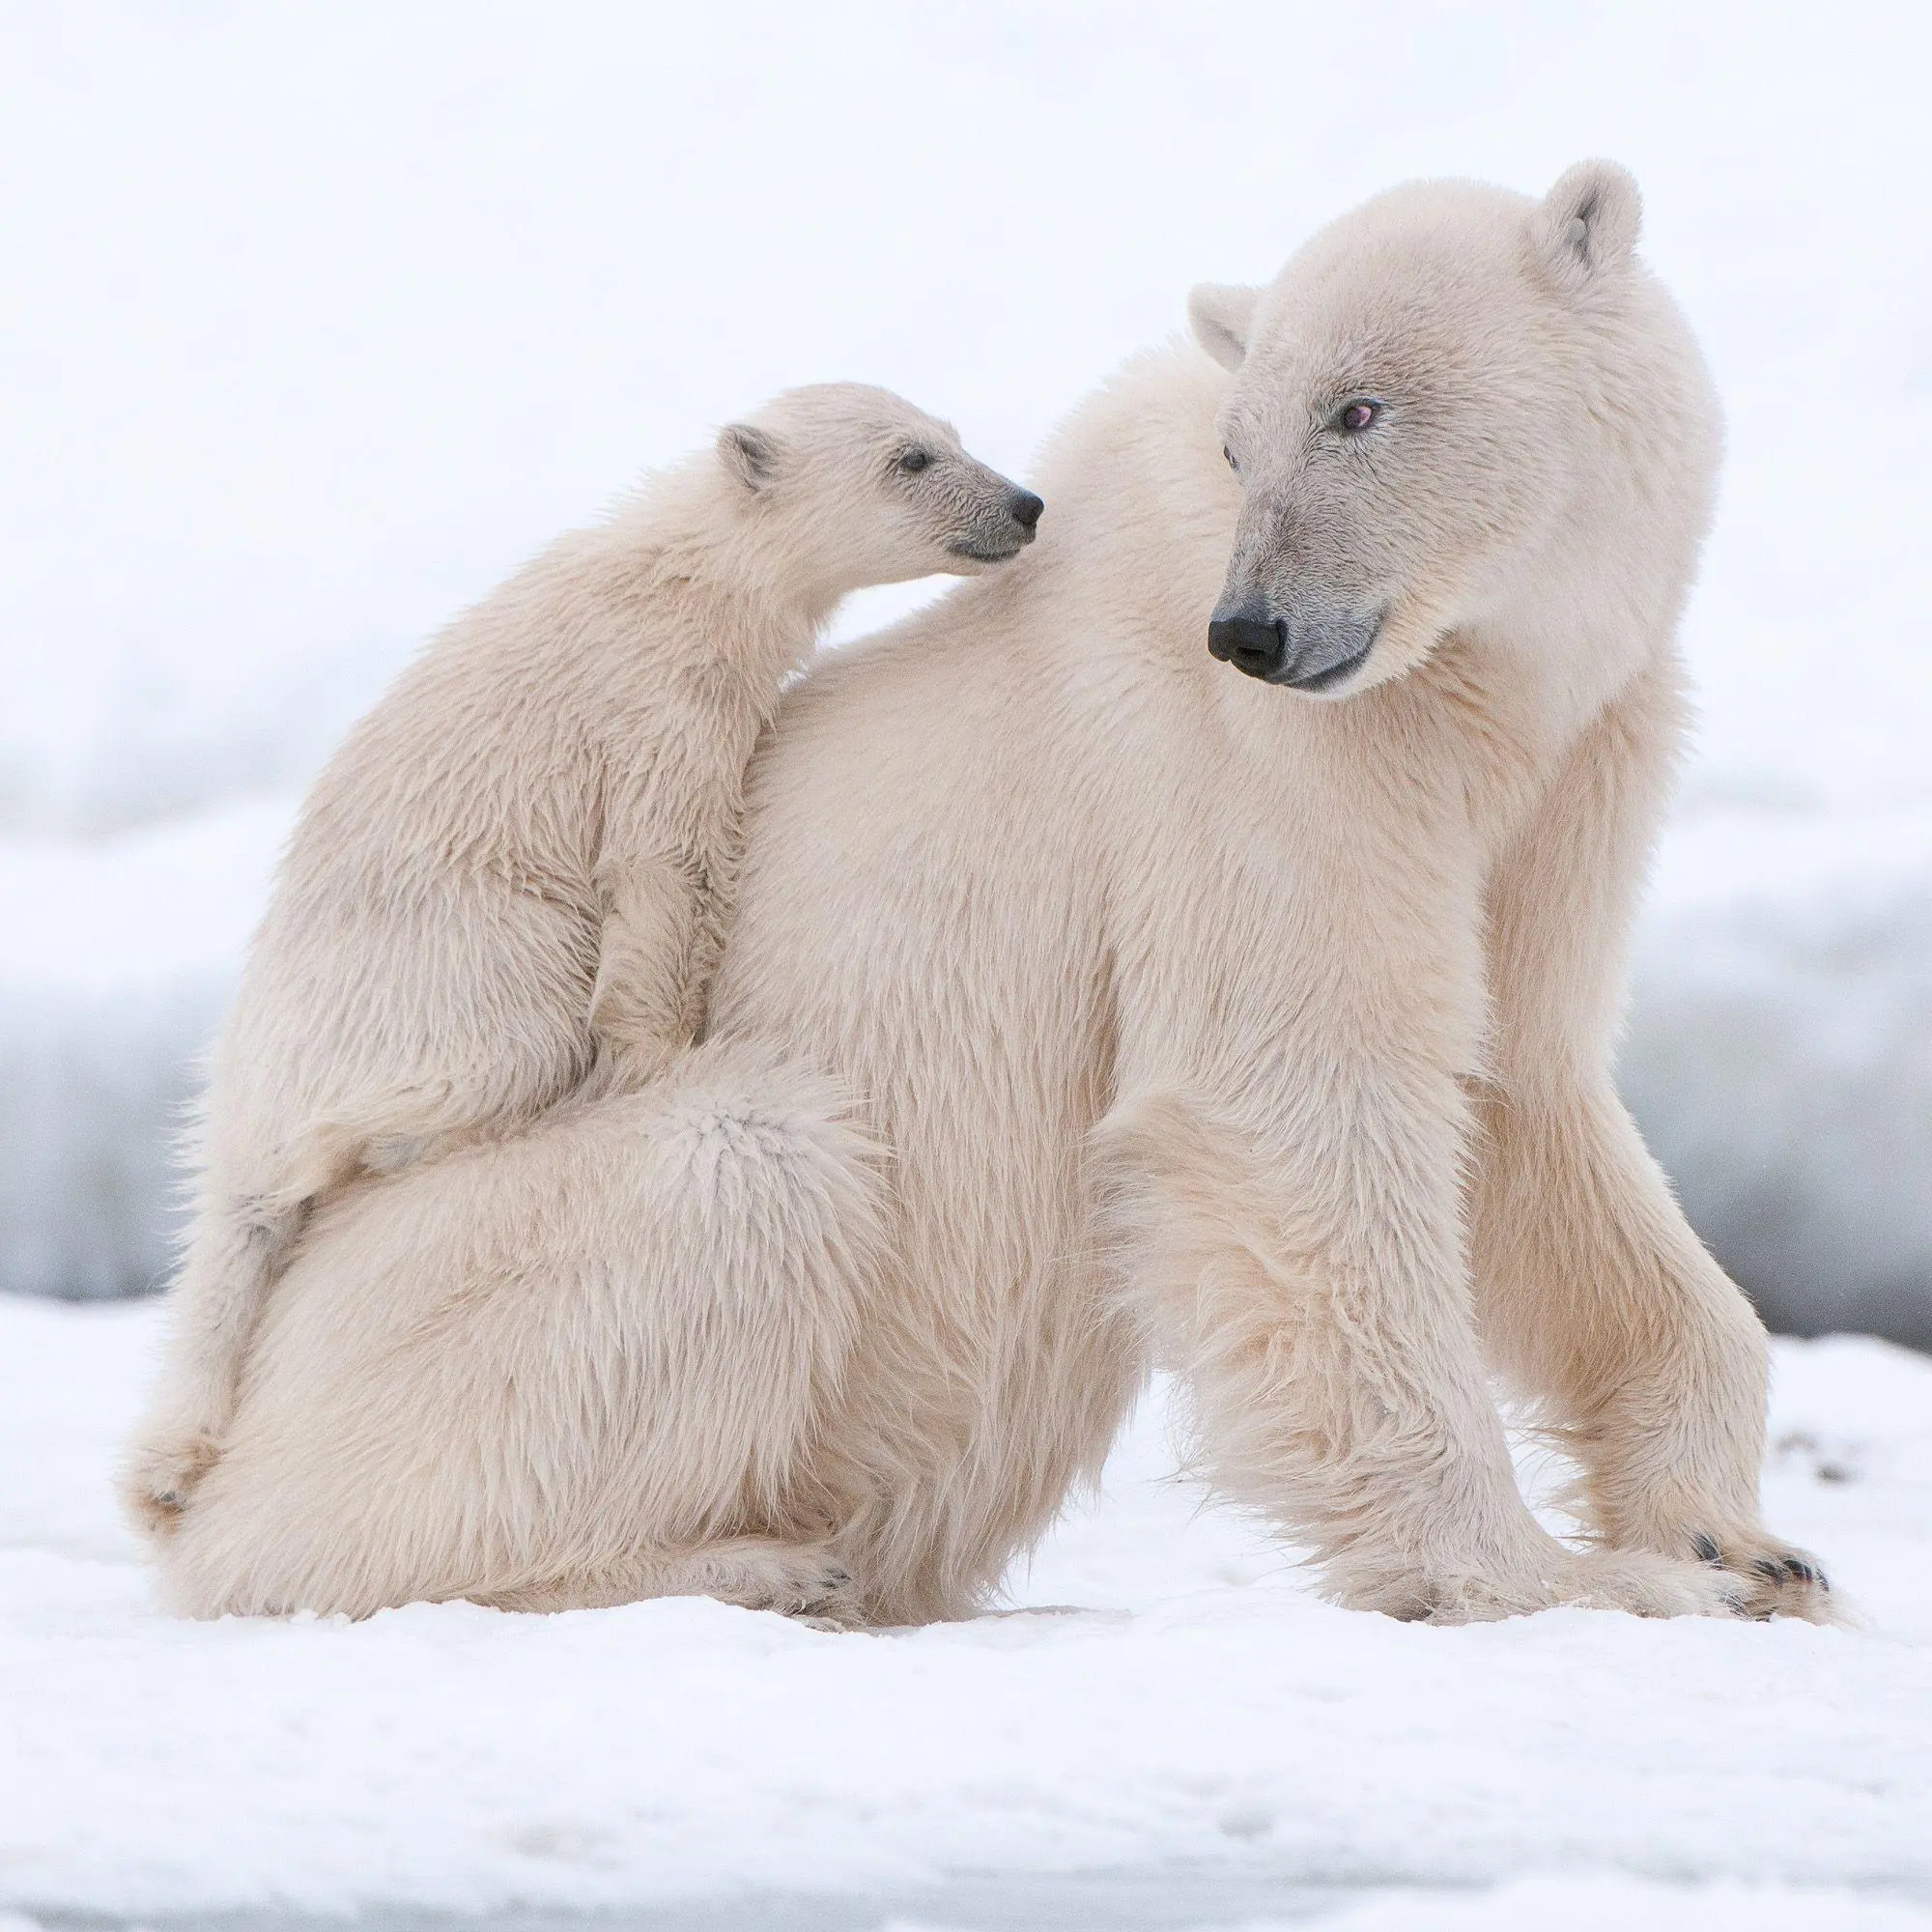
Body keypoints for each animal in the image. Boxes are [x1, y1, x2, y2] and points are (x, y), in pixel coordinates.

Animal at [124, 383, 1044, 1538]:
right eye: (910, 457)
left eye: (953, 435)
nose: (1024, 504)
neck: (685, 571)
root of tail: (251, 1077)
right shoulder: (656, 705)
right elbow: (663, 865)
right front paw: (659, 1054)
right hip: (450, 965)